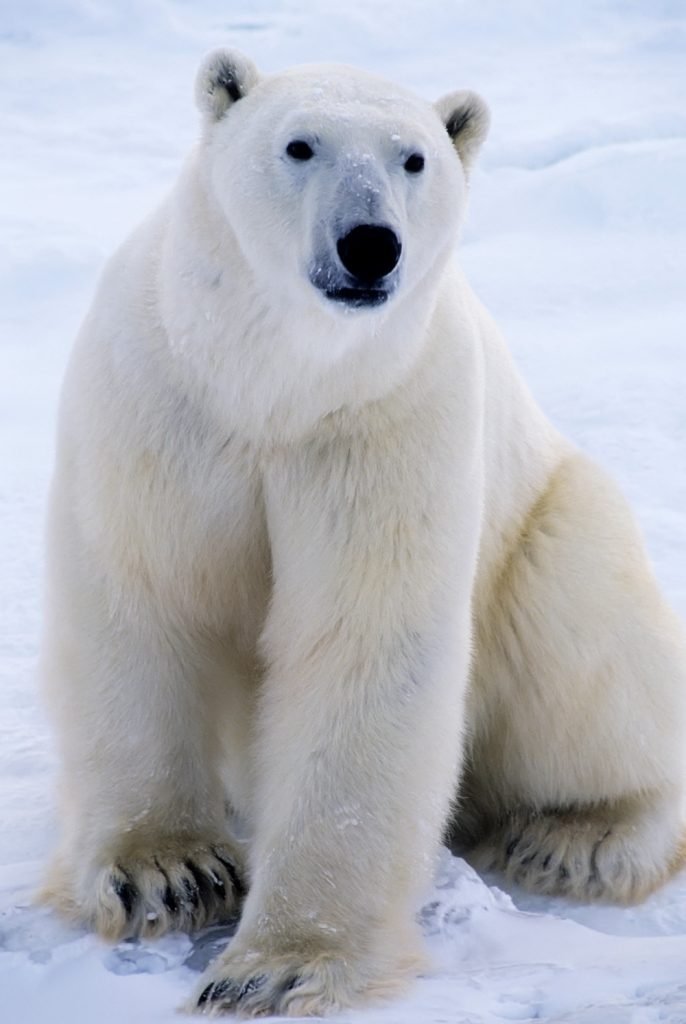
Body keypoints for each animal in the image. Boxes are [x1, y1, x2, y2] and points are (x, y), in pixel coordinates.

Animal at [39, 49, 686, 1018]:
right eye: (299, 144)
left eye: (414, 158)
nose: (370, 243)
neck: (275, 383)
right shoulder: (165, 400)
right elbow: (143, 594)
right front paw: (168, 873)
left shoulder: (386, 418)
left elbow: (363, 643)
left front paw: (277, 964)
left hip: (552, 524)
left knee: (588, 649)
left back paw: (577, 837)